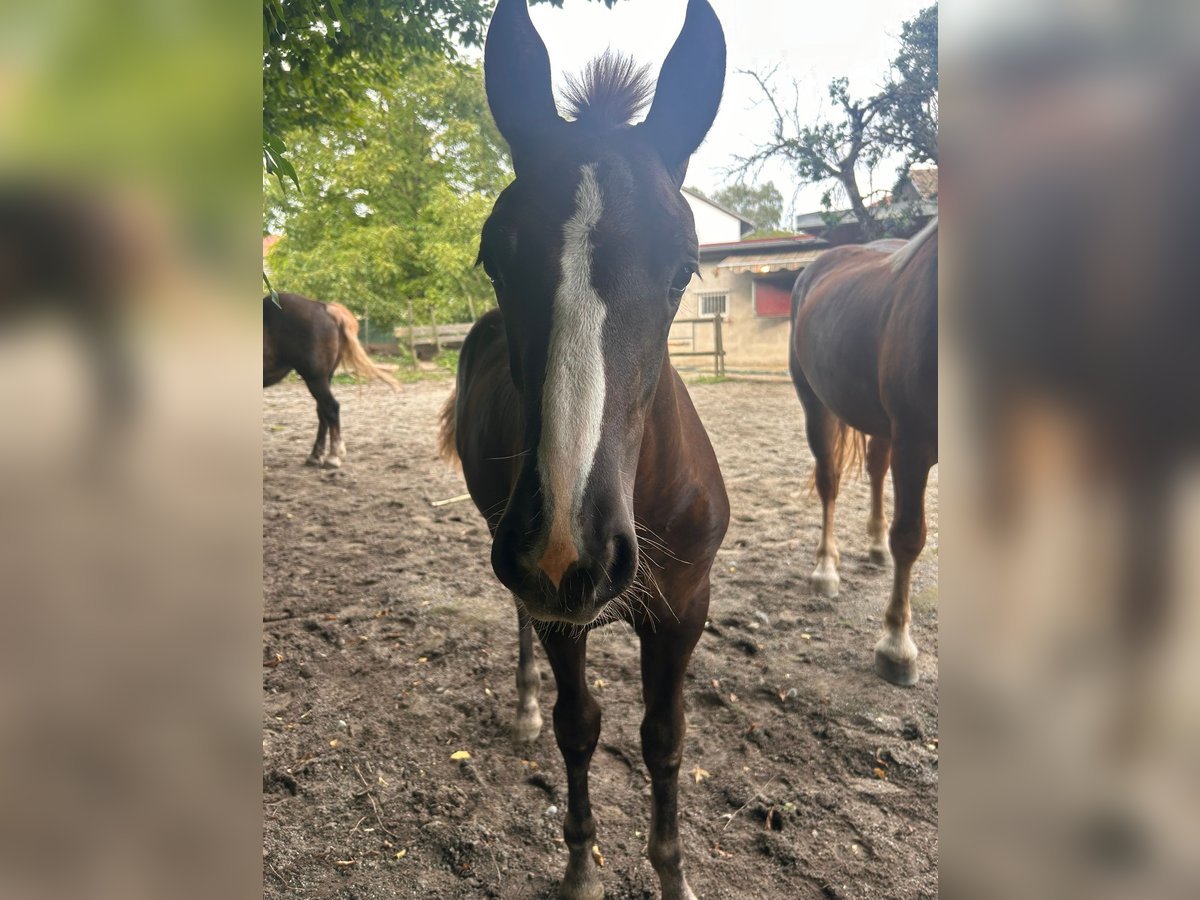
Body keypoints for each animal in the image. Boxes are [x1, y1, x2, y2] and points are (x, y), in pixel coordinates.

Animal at [262, 292, 398, 468]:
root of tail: (325, 308)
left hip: (315, 378)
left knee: (331, 408)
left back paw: (334, 456)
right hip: (325, 378)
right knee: (323, 412)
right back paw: (316, 455)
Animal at [436, 3, 724, 897]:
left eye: (684, 267)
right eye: (494, 254)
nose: (567, 549)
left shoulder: (684, 607)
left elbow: (665, 735)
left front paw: (673, 874)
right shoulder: (561, 605)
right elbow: (580, 724)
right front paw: (579, 871)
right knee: (524, 624)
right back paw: (524, 702)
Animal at [792, 222, 940, 686]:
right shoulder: (914, 443)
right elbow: (910, 537)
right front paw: (896, 645)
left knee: (875, 469)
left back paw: (875, 547)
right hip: (818, 407)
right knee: (830, 483)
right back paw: (826, 569)